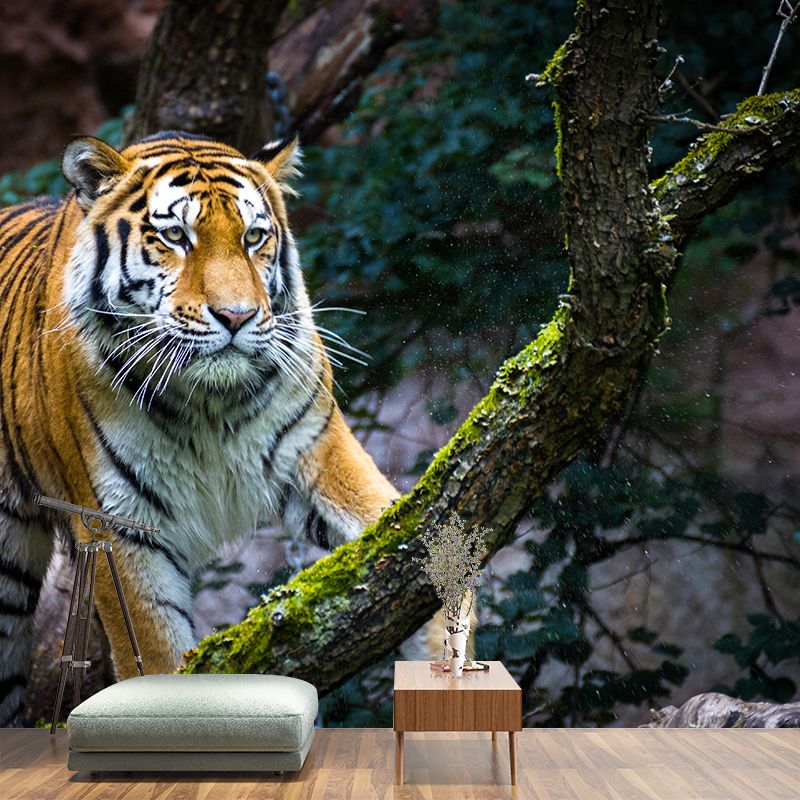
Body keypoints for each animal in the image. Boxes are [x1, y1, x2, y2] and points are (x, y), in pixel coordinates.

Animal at [0, 132, 399, 726]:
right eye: (175, 237)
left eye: (254, 237)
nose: (236, 316)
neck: (210, 403)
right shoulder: (120, 527)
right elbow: (155, 654)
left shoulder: (317, 448)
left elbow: (389, 523)